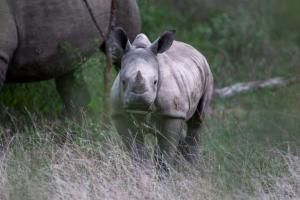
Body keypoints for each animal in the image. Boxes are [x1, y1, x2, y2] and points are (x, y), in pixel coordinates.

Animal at [110, 28, 213, 169]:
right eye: (123, 81)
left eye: (155, 82)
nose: (139, 101)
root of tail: (195, 50)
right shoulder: (119, 115)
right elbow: (135, 150)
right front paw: (140, 171)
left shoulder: (172, 114)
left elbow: (165, 153)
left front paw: (163, 173)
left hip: (206, 72)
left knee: (197, 121)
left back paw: (193, 167)